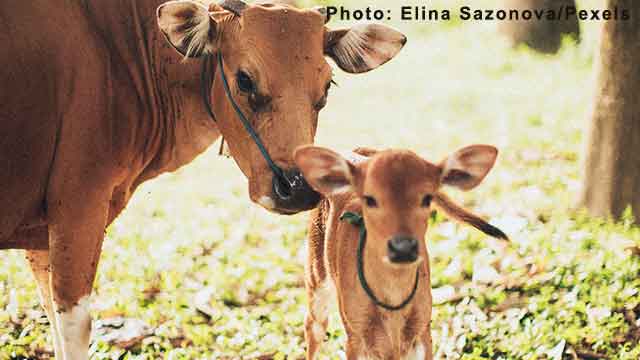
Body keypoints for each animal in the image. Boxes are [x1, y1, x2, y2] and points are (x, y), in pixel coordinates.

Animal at [1, 0, 404, 358]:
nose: (298, 188)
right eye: (245, 79)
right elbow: (75, 327)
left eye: (327, 86)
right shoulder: (78, 210)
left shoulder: (41, 236)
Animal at [296, 146, 510, 360]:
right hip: (316, 279)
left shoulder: (423, 329)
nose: (402, 247)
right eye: (370, 199)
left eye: (427, 198)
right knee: (313, 327)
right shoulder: (355, 336)